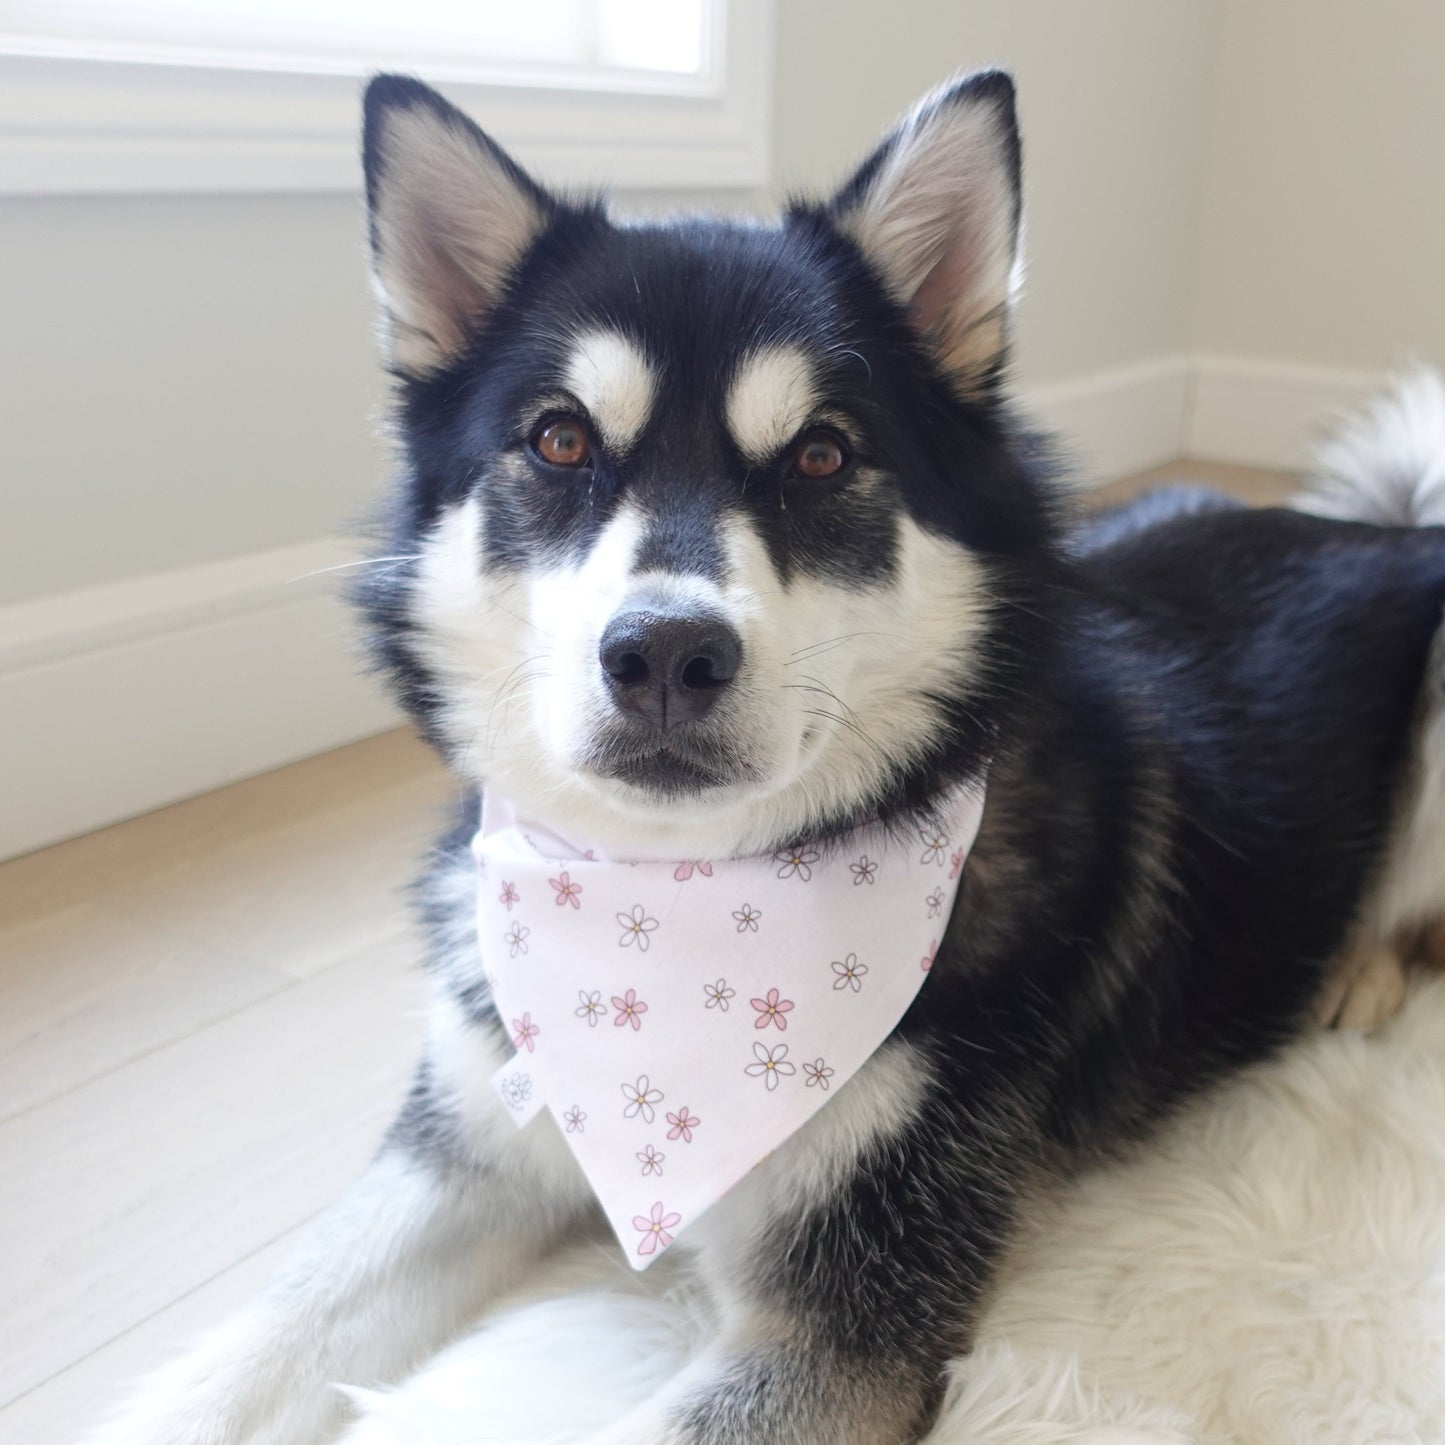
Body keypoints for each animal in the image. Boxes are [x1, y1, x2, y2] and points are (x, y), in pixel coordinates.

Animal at [93, 73, 1445, 1445]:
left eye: (821, 455)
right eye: (560, 441)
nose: (663, 652)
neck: (674, 901)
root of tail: (1374, 524)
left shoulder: (843, 1320)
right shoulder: (464, 1148)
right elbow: (252, 1348)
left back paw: (1360, 973)